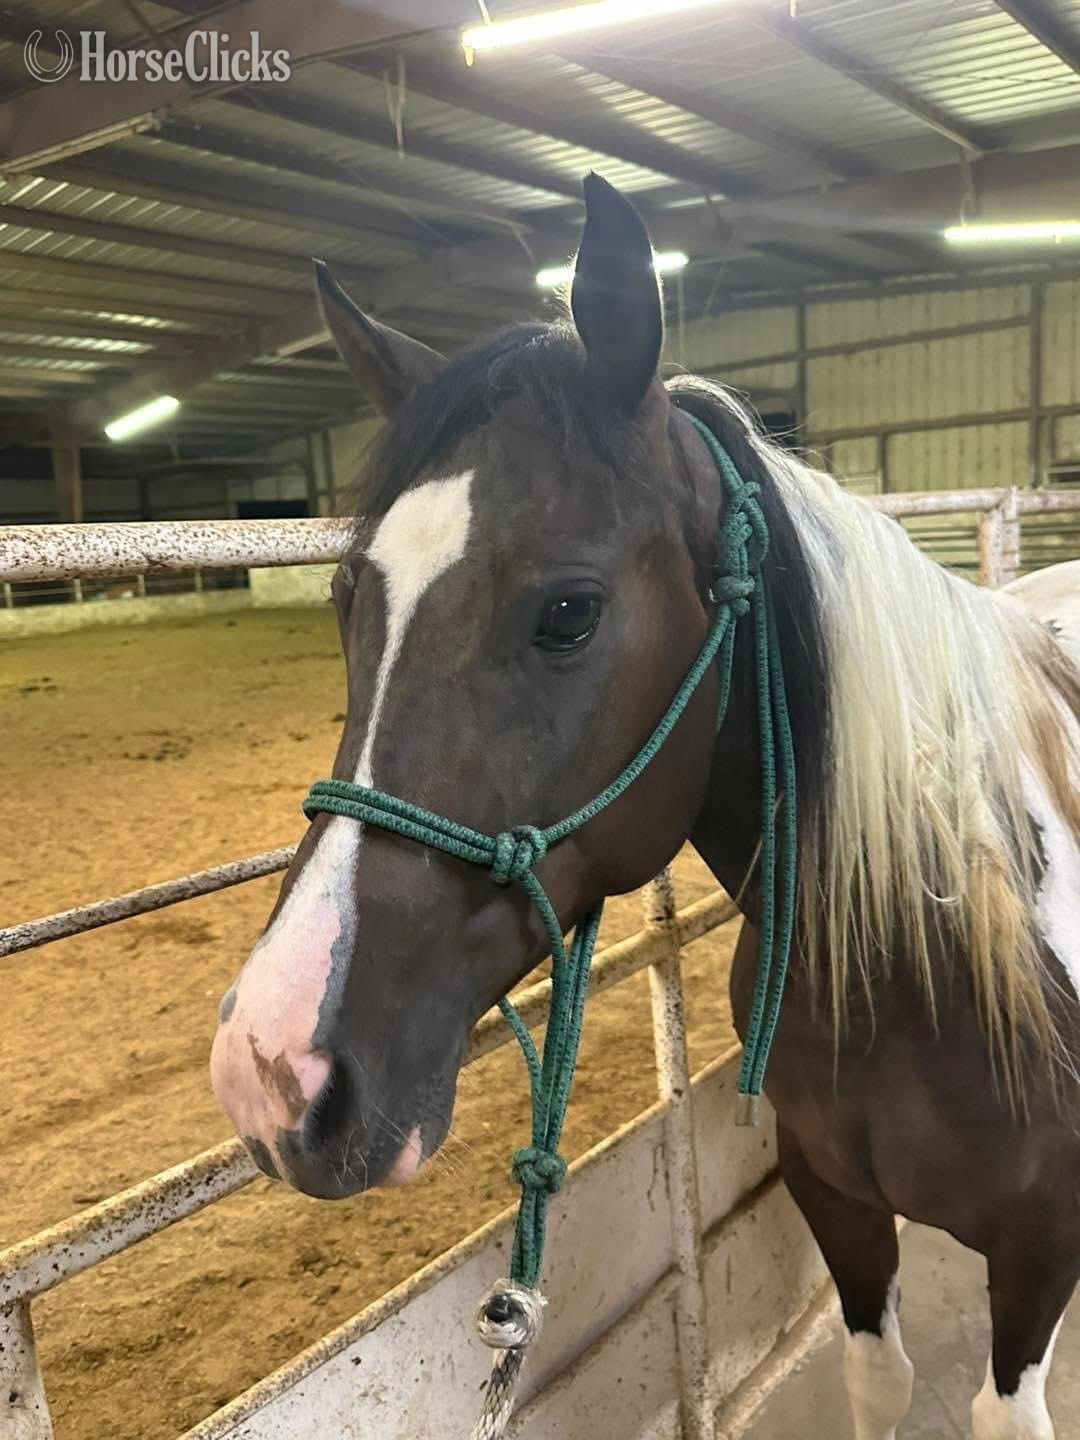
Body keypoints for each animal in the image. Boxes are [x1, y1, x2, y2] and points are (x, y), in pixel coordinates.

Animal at [210, 175, 1080, 1440]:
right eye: (345, 599)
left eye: (570, 611)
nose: (270, 1069)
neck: (933, 955)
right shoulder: (837, 1201)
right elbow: (880, 1376)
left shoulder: (1041, 1248)